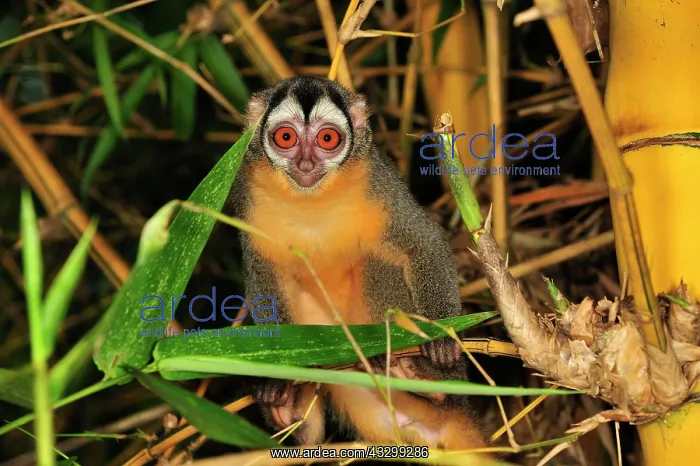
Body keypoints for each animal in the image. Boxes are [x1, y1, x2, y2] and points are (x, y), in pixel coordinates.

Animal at [231, 76, 488, 452]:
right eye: (286, 137)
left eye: (327, 139)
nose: (305, 164)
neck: (313, 200)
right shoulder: (245, 194)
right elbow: (263, 277)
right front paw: (278, 382)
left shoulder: (380, 182)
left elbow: (424, 243)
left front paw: (440, 336)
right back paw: (289, 411)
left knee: (376, 263)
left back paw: (432, 383)